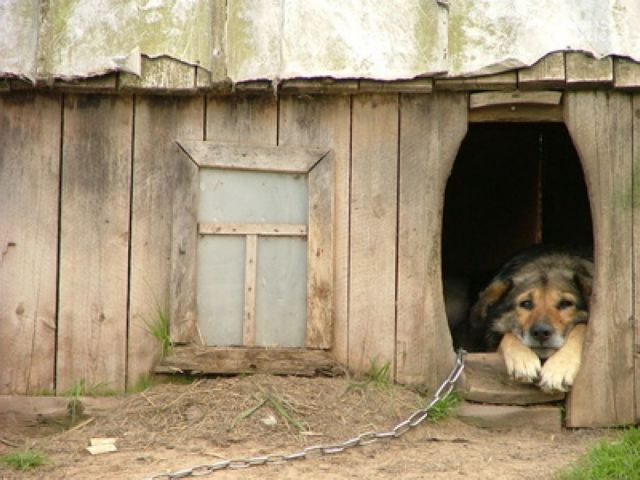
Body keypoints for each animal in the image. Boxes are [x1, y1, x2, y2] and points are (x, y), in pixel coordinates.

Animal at [468, 248, 592, 394]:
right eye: (526, 304)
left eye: (565, 303)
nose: (541, 333)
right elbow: (509, 334)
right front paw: (522, 359)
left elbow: (581, 328)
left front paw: (559, 368)